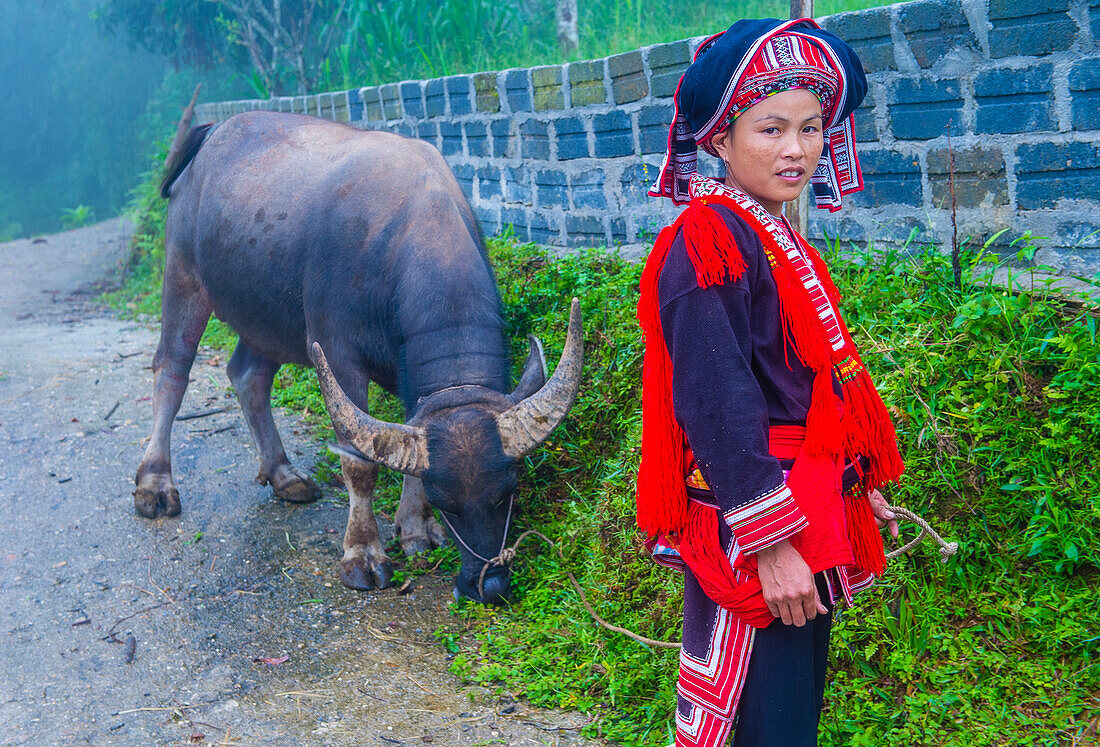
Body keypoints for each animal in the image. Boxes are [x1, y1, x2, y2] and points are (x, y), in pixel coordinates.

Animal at [135, 108, 585, 602]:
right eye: (447, 501)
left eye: (509, 490)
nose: (487, 584)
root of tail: (212, 132)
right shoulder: (336, 356)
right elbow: (360, 464)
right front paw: (364, 556)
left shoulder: (412, 382)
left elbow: (408, 442)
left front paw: (415, 528)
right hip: (182, 275)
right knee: (172, 370)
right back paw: (155, 485)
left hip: (265, 316)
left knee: (248, 376)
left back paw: (284, 475)